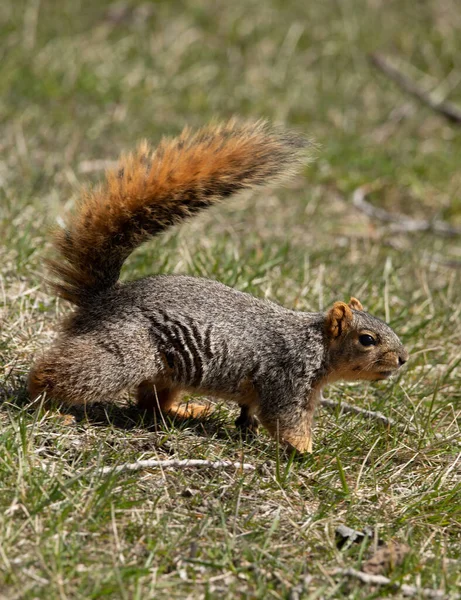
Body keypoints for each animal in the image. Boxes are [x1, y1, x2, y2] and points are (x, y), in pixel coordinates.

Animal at [27, 119, 408, 452]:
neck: (318, 346)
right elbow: (285, 422)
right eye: (367, 340)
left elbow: (251, 412)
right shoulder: (287, 379)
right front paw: (310, 452)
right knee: (70, 374)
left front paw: (250, 430)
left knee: (152, 403)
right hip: (127, 350)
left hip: (168, 372)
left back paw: (186, 411)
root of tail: (103, 300)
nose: (403, 359)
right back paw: (44, 404)